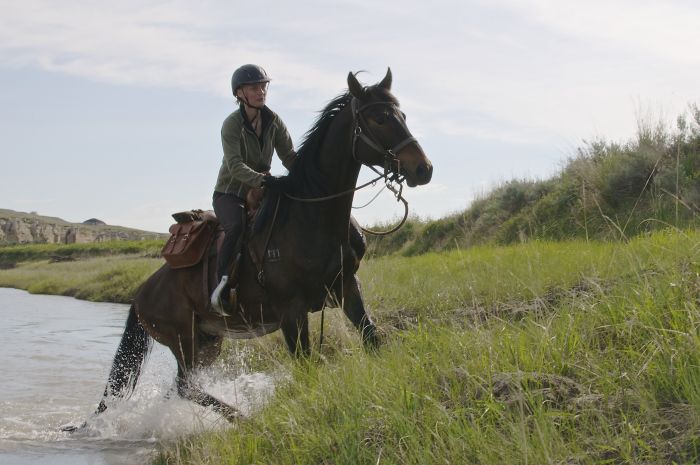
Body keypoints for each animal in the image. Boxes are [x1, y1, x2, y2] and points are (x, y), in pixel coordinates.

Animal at [93, 69, 432, 420]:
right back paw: (244, 419)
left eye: (402, 116)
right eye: (379, 118)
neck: (312, 217)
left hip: (208, 341)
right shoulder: (291, 312)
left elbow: (371, 338)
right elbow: (305, 367)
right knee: (187, 387)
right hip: (182, 338)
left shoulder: (347, 287)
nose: (423, 169)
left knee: (184, 388)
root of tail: (140, 294)